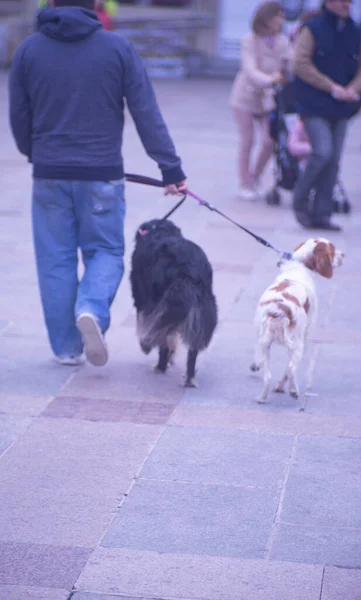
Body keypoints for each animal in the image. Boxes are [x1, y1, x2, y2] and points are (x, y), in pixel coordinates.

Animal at [131, 219, 218, 384]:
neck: (159, 230)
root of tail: (188, 269)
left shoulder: (143, 302)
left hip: (164, 301)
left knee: (160, 334)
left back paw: (159, 364)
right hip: (203, 307)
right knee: (193, 347)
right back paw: (189, 378)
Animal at [250, 238, 344, 404]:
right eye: (333, 250)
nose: (343, 255)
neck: (299, 267)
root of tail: (280, 309)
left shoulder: (260, 338)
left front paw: (255, 364)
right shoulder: (305, 338)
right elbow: (287, 369)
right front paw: (283, 387)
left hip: (267, 343)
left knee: (268, 376)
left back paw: (262, 397)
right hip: (297, 344)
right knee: (292, 369)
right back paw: (293, 390)